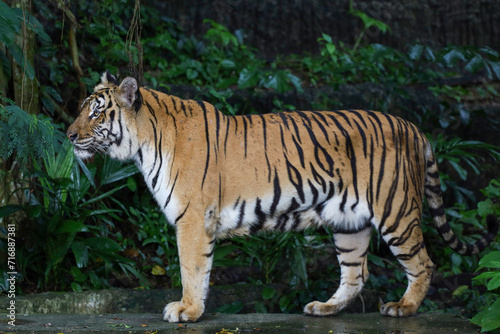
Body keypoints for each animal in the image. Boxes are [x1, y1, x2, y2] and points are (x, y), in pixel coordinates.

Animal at [67, 71, 500, 324]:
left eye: (97, 113)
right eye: (82, 109)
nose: (69, 135)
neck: (143, 144)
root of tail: (413, 126)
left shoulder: (191, 218)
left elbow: (192, 268)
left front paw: (187, 310)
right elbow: (199, 270)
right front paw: (193, 309)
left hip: (395, 211)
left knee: (423, 263)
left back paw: (403, 308)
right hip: (349, 223)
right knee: (356, 273)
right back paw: (324, 308)